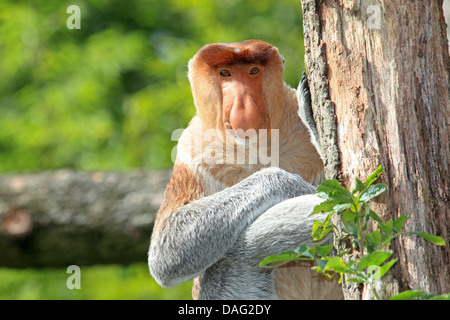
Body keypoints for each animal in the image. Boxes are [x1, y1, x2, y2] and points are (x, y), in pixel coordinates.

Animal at [149, 40, 342, 300]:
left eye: (253, 71)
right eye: (225, 73)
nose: (243, 104)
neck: (257, 147)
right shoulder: (192, 148)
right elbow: (166, 251)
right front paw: (296, 186)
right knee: (236, 256)